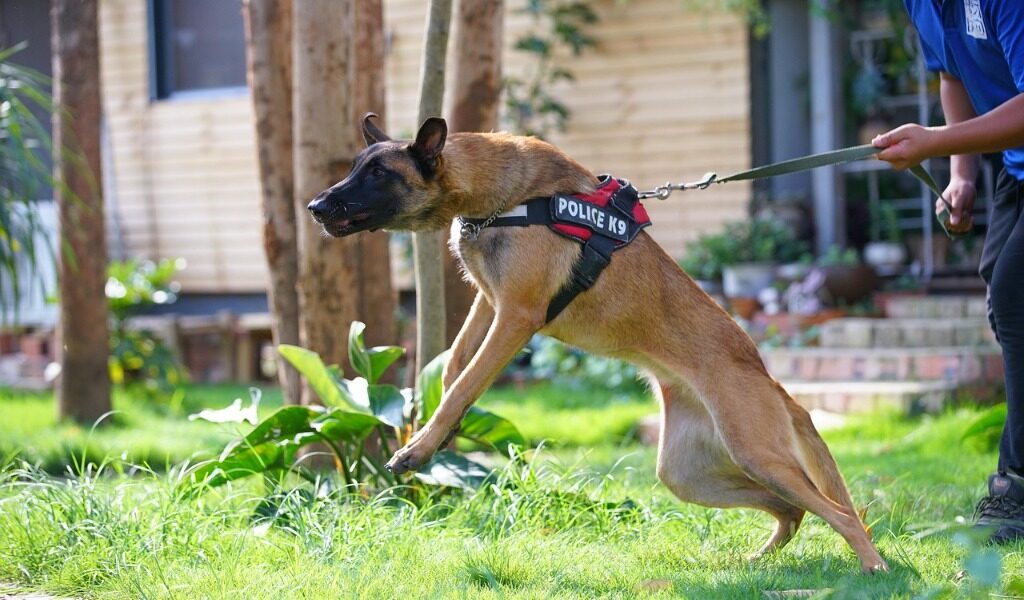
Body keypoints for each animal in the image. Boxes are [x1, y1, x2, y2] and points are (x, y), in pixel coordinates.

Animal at [305, 113, 888, 569]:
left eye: (378, 174)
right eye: (356, 168)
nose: (315, 206)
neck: (503, 195)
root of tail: (771, 381)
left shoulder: (515, 316)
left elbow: (465, 382)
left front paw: (419, 447)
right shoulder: (489, 304)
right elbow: (453, 372)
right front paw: (438, 434)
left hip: (756, 452)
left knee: (840, 513)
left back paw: (874, 568)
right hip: (689, 475)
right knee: (793, 508)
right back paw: (758, 560)